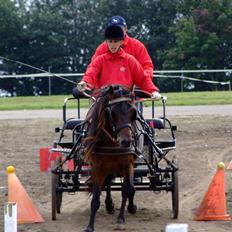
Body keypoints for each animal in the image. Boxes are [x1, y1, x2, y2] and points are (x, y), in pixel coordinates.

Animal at [84, 85, 137, 232]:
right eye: (112, 112)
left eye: (133, 112)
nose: (126, 141)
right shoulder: (97, 168)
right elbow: (95, 199)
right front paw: (90, 226)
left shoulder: (128, 165)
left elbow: (127, 190)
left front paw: (121, 219)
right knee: (108, 183)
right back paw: (109, 205)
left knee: (129, 186)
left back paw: (130, 207)